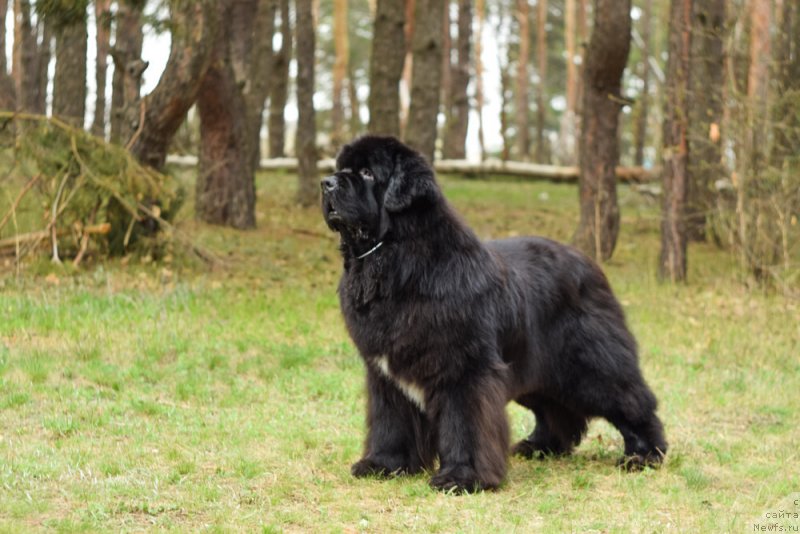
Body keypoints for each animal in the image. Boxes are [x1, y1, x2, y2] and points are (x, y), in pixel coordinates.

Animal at [322, 137, 664, 494]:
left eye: (367, 173)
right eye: (340, 168)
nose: (326, 183)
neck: (395, 261)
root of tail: (589, 263)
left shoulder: (464, 368)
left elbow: (464, 423)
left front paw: (462, 477)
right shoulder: (386, 375)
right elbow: (390, 421)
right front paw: (384, 464)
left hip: (591, 364)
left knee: (632, 399)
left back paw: (644, 454)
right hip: (534, 369)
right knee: (554, 408)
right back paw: (540, 446)